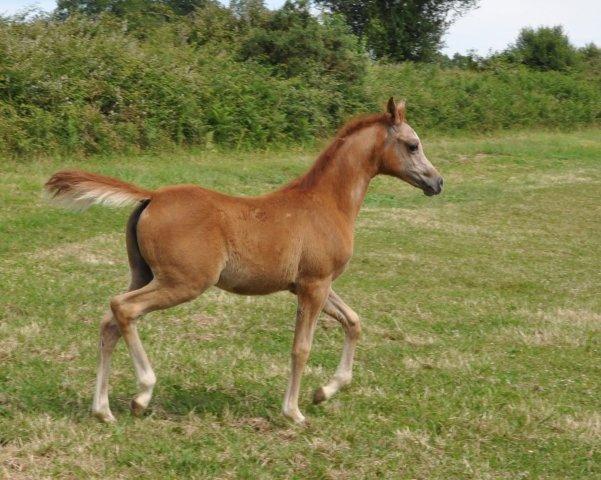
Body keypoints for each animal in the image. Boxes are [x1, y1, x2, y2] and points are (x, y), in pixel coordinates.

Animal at [45, 98, 440, 424]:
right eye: (413, 145)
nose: (437, 183)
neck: (326, 202)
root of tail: (152, 195)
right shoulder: (314, 285)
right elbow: (301, 348)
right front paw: (294, 412)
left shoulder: (314, 284)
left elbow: (354, 322)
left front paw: (323, 392)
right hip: (183, 282)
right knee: (123, 308)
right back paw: (142, 393)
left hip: (144, 275)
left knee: (108, 322)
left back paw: (103, 410)